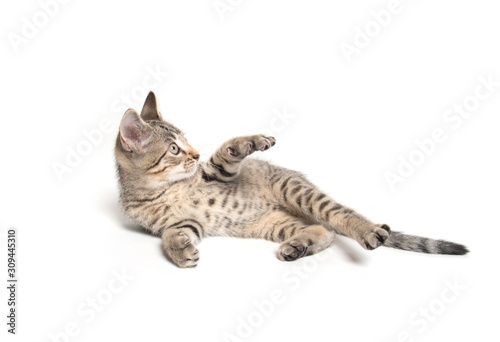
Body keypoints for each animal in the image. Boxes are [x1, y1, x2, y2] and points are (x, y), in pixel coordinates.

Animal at [116, 93, 468, 268]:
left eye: (186, 141)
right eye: (174, 149)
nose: (195, 153)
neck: (165, 189)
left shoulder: (219, 173)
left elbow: (226, 153)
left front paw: (251, 142)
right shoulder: (183, 223)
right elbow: (171, 235)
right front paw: (179, 251)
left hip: (297, 191)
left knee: (341, 216)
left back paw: (369, 231)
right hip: (273, 223)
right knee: (326, 232)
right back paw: (299, 246)